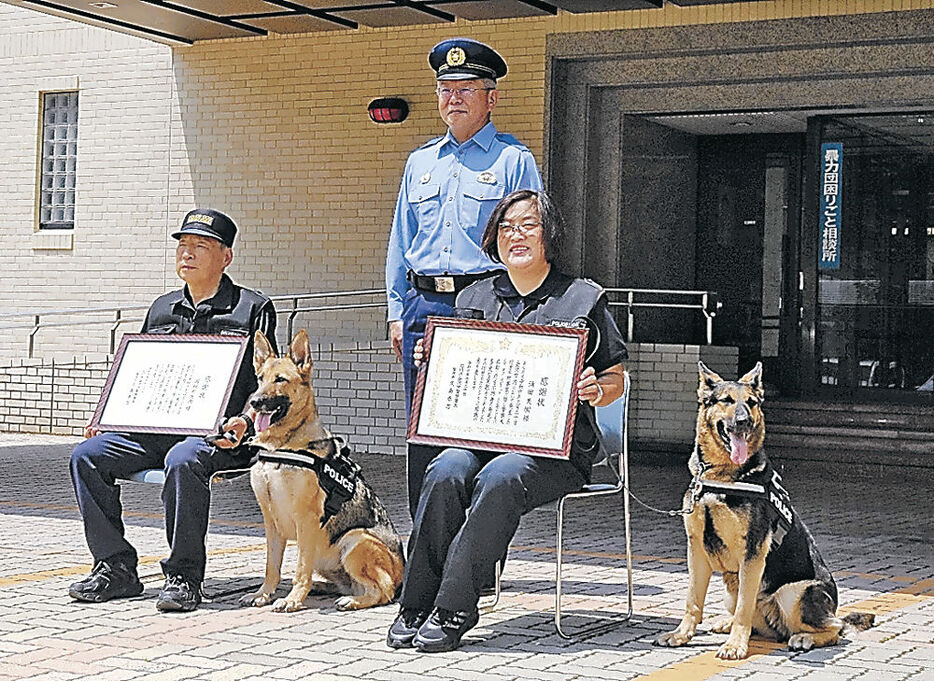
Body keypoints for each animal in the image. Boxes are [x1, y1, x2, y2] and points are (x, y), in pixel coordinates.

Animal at [239, 330, 404, 612]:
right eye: (260, 379)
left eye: (280, 379)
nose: (255, 402)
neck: (281, 445)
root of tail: (403, 573)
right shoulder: (271, 522)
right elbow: (272, 567)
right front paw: (263, 593)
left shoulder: (306, 520)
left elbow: (300, 568)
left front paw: (292, 599)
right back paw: (322, 587)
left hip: (355, 540)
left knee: (383, 591)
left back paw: (352, 600)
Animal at [656, 364, 872, 656]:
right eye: (726, 400)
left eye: (751, 403)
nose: (744, 421)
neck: (722, 477)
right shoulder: (697, 549)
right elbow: (693, 600)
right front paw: (681, 635)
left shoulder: (753, 553)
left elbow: (744, 608)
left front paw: (735, 645)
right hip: (732, 590)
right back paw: (727, 623)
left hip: (792, 593)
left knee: (836, 627)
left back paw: (803, 637)